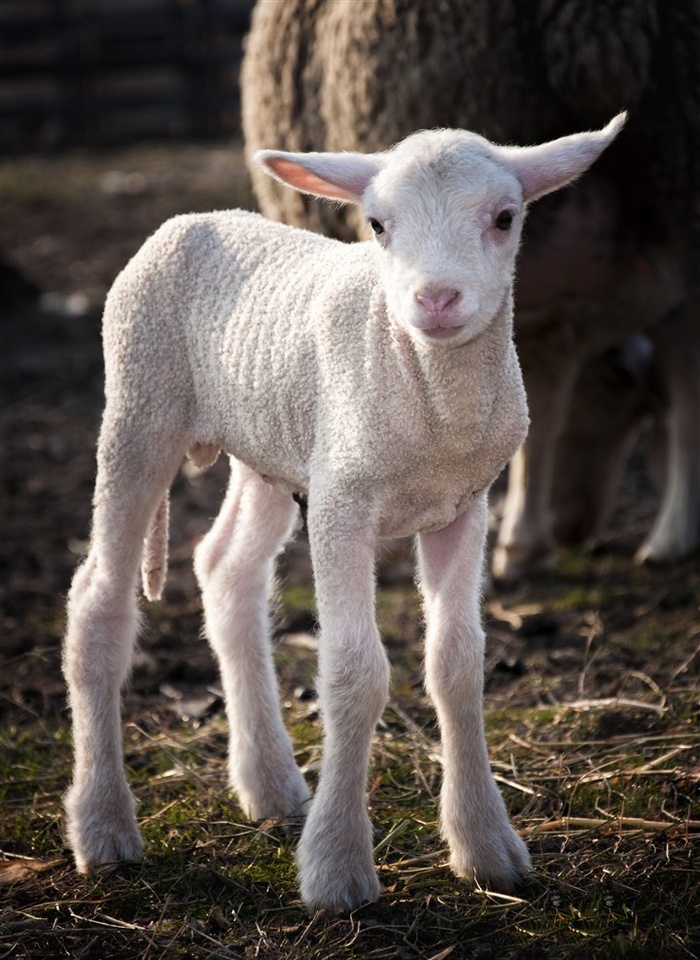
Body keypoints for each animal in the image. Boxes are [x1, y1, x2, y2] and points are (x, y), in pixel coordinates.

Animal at [63, 116, 624, 912]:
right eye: (377, 225)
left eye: (505, 218)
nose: (437, 299)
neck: (432, 405)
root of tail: (192, 219)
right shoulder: (342, 505)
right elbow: (354, 674)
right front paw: (337, 869)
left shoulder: (465, 506)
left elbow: (458, 665)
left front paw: (487, 848)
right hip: (140, 403)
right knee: (99, 598)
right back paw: (104, 827)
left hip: (271, 446)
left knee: (225, 569)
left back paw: (269, 784)